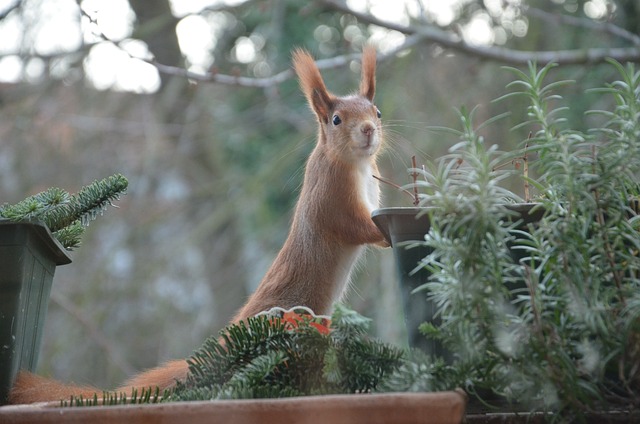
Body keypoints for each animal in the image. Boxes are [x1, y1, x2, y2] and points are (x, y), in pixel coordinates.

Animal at [10, 46, 388, 404]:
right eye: (336, 119)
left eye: (378, 113)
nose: (369, 130)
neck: (355, 165)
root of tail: (225, 344)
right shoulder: (331, 196)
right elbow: (353, 226)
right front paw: (383, 234)